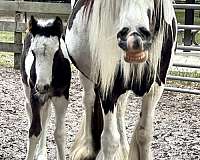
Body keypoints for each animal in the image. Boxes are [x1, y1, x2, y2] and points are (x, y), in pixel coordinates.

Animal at [20, 15, 70, 159]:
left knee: (46, 116)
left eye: (56, 52)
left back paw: (42, 153)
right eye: (33, 52)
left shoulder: (62, 97)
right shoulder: (35, 96)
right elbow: (34, 131)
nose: (42, 86)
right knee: (31, 111)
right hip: (29, 91)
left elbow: (59, 134)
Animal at [65, 0, 177, 159]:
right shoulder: (107, 89)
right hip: (86, 77)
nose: (134, 38)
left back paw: (123, 150)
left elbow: (144, 134)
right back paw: (86, 149)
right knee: (88, 100)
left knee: (120, 108)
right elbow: (110, 140)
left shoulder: (155, 88)